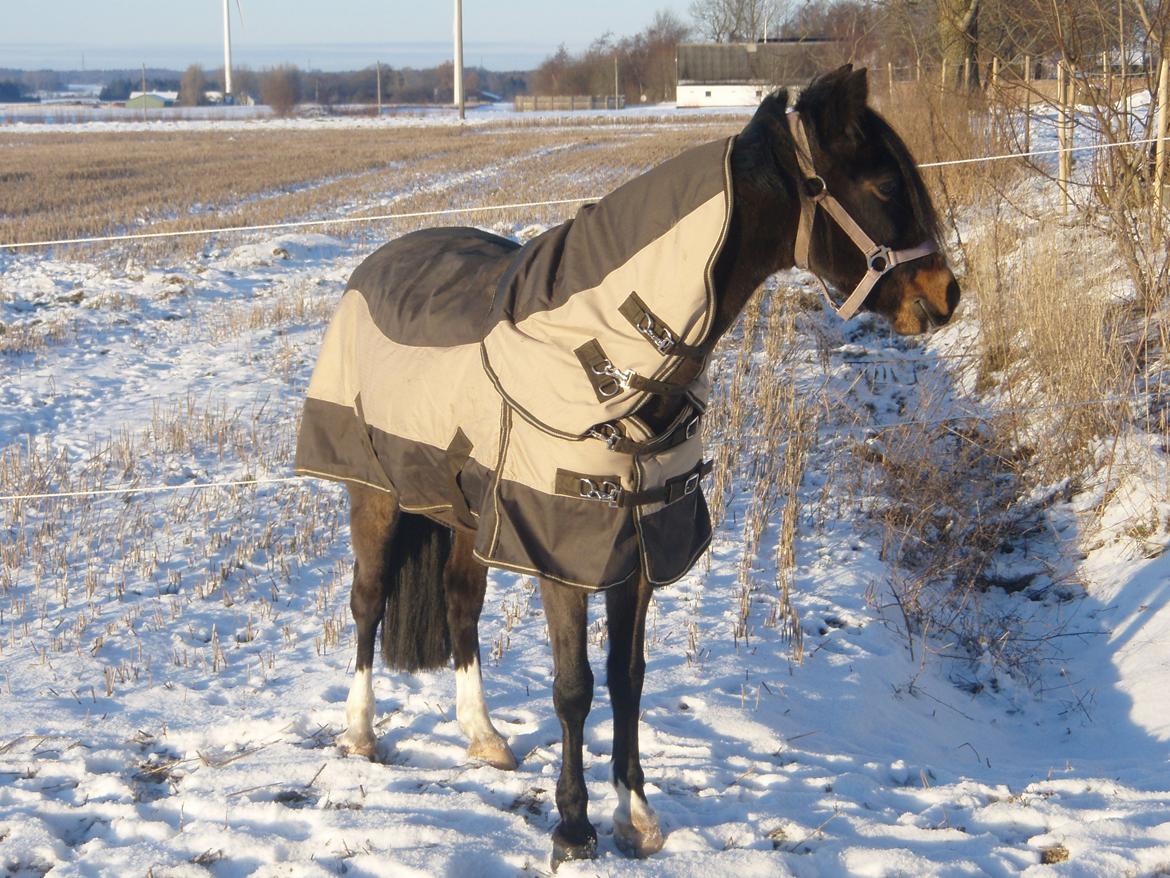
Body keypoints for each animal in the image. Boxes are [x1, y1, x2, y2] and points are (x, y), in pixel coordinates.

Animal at [294, 65, 960, 867]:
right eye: (885, 184)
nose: (946, 296)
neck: (604, 359)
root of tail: (372, 265)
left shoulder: (640, 546)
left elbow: (627, 678)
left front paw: (634, 815)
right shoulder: (561, 551)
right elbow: (574, 686)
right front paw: (573, 828)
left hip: (464, 510)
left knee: (459, 604)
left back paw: (483, 738)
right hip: (376, 494)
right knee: (366, 602)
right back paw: (361, 734)